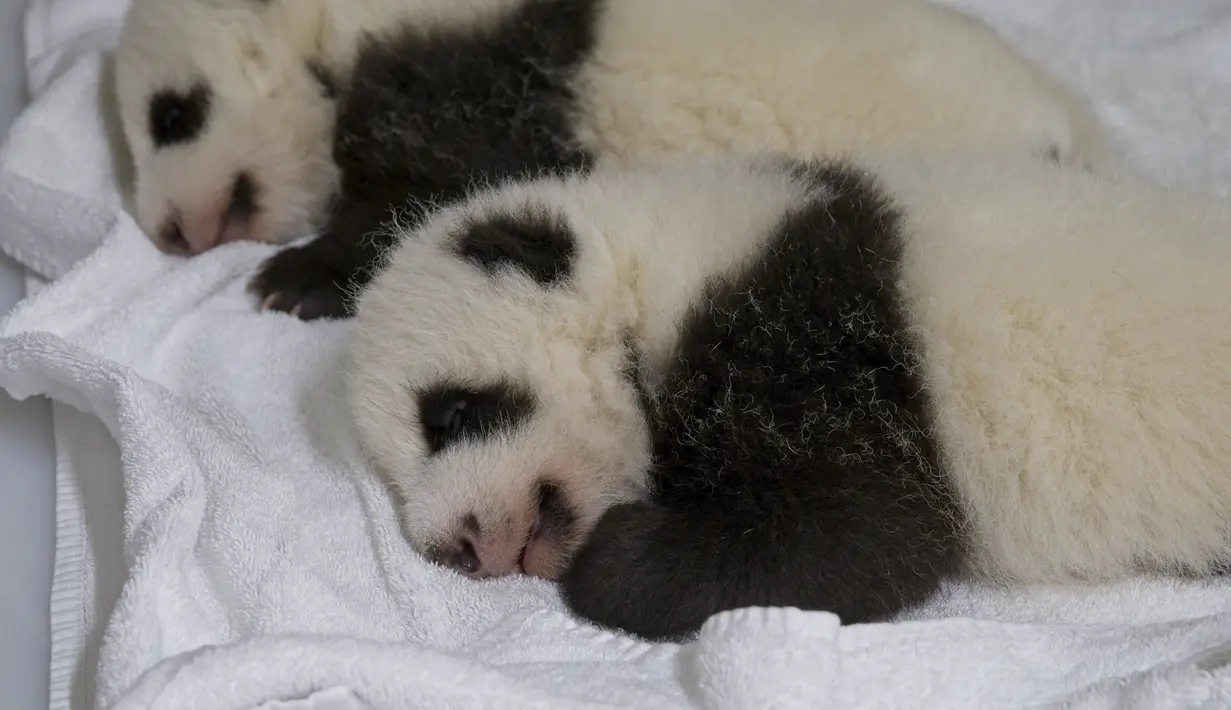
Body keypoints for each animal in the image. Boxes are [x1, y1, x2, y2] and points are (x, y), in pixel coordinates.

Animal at [112, 0, 1119, 321]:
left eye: (172, 114)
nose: (166, 230)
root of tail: (1078, 135)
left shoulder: (476, 64)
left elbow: (438, 185)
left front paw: (296, 279)